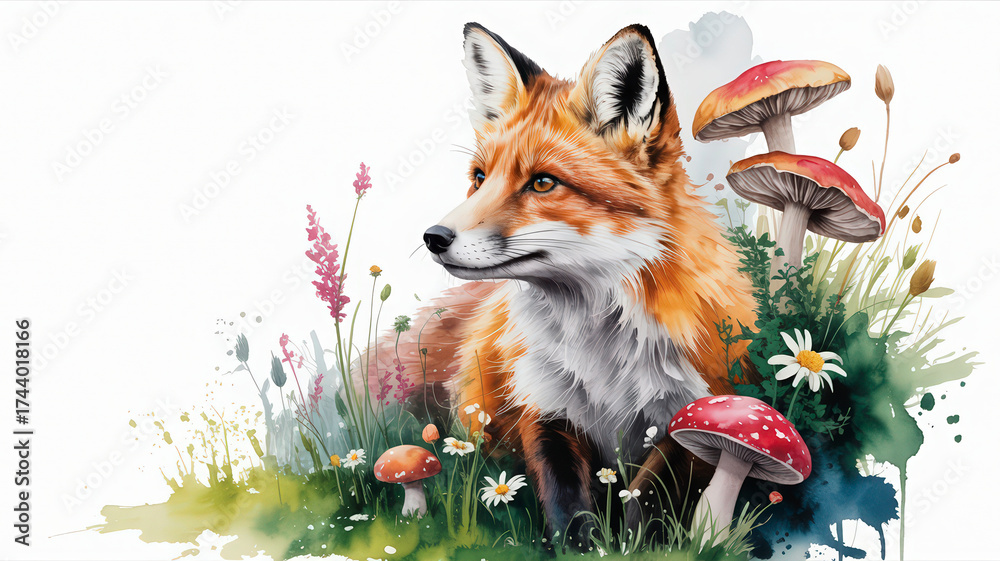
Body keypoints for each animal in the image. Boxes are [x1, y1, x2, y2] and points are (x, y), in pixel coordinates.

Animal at [368, 22, 757, 544]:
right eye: (479, 177)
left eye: (543, 183)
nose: (434, 237)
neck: (603, 356)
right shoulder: (546, 411)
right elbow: (568, 511)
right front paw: (589, 547)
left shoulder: (696, 409)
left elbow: (648, 504)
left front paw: (637, 545)